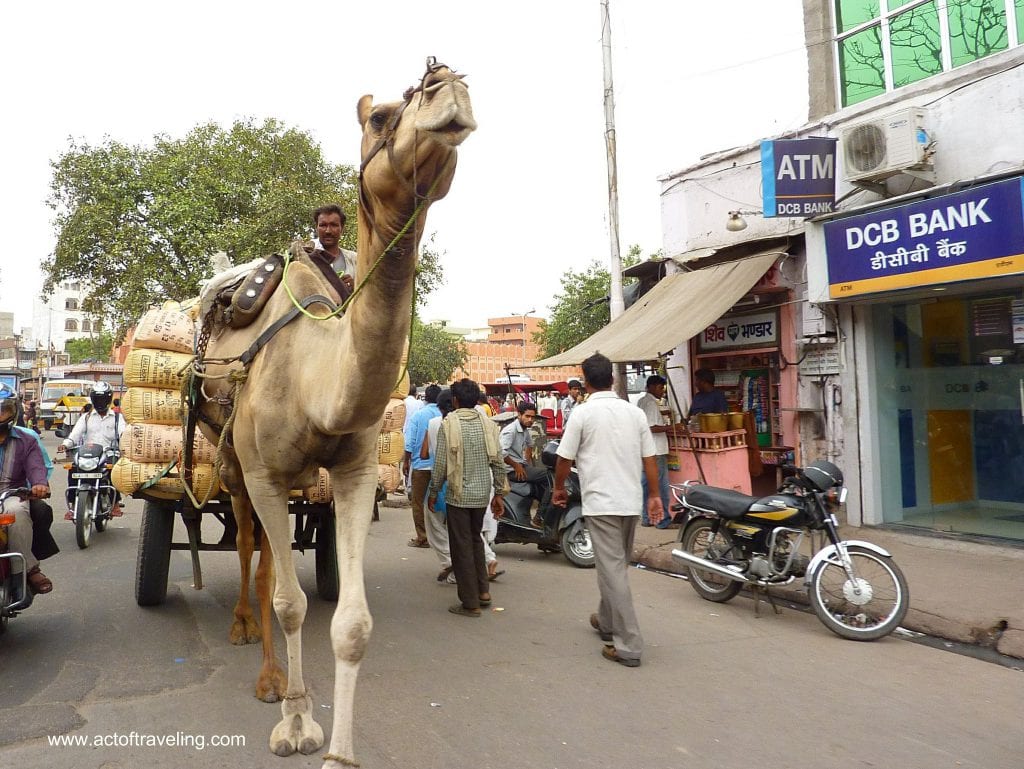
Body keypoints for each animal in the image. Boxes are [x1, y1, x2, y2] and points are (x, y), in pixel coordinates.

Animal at [195, 60, 475, 765]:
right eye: (379, 117)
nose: (447, 82)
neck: (316, 380)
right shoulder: (265, 472)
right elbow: (291, 604)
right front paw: (293, 720)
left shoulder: (351, 475)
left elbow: (350, 622)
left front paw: (337, 749)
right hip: (234, 462)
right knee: (248, 544)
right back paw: (251, 644)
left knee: (267, 554)